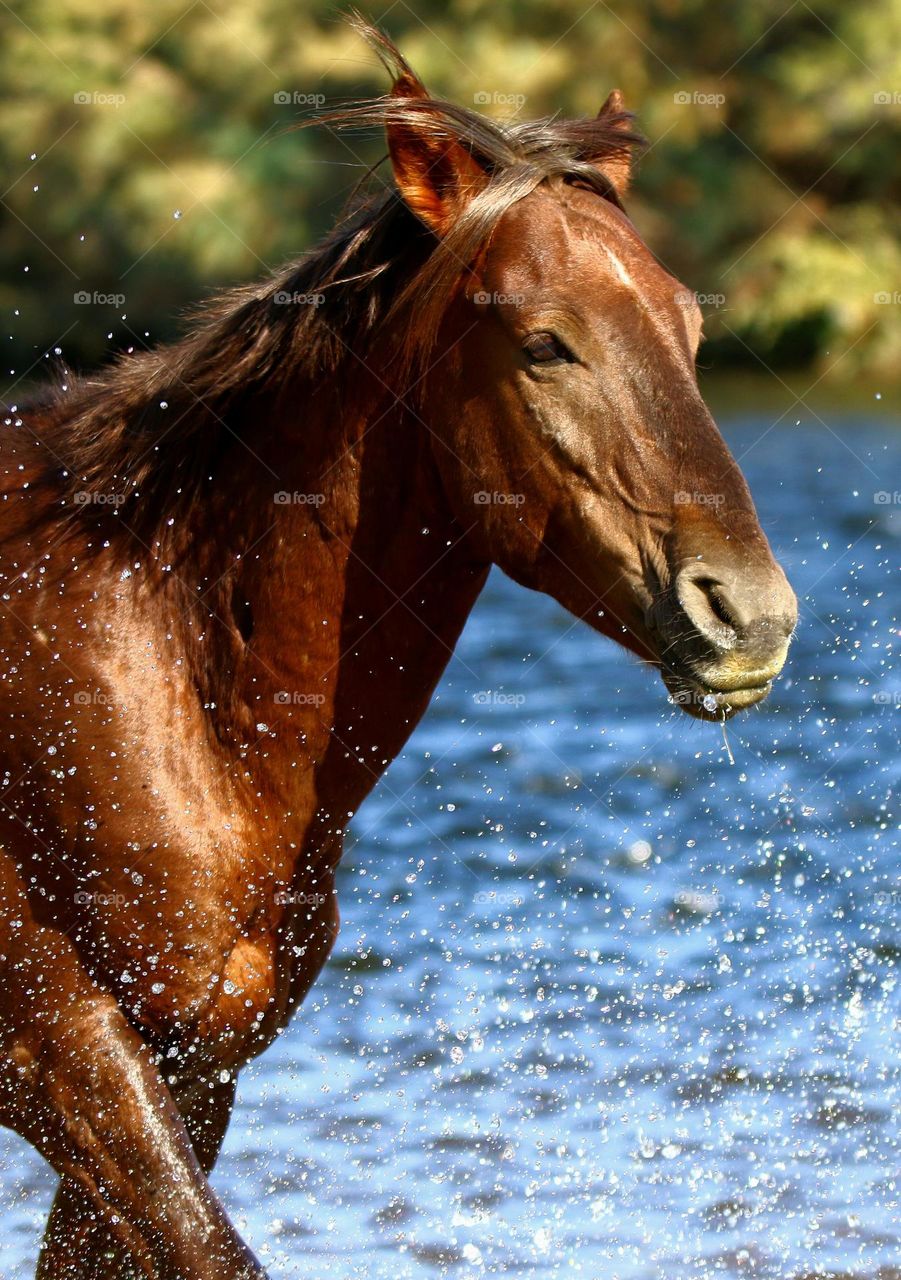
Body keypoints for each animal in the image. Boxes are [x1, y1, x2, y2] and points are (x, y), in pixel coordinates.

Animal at [0, 18, 797, 1279]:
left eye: (690, 326)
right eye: (543, 344)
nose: (748, 613)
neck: (160, 669)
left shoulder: (195, 1066)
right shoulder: (61, 1042)